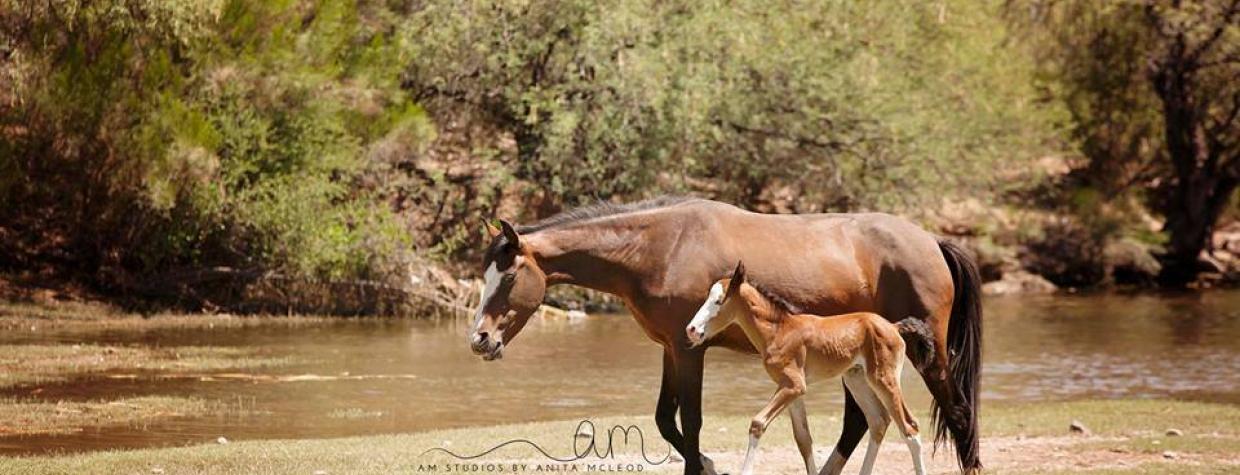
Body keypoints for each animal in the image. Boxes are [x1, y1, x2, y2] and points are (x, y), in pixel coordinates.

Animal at [684, 264, 927, 475]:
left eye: (718, 301)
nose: (692, 330)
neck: (779, 331)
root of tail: (893, 326)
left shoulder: (794, 386)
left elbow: (758, 423)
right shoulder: (792, 390)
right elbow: (804, 439)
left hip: (883, 380)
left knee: (910, 428)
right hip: (856, 380)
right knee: (879, 422)